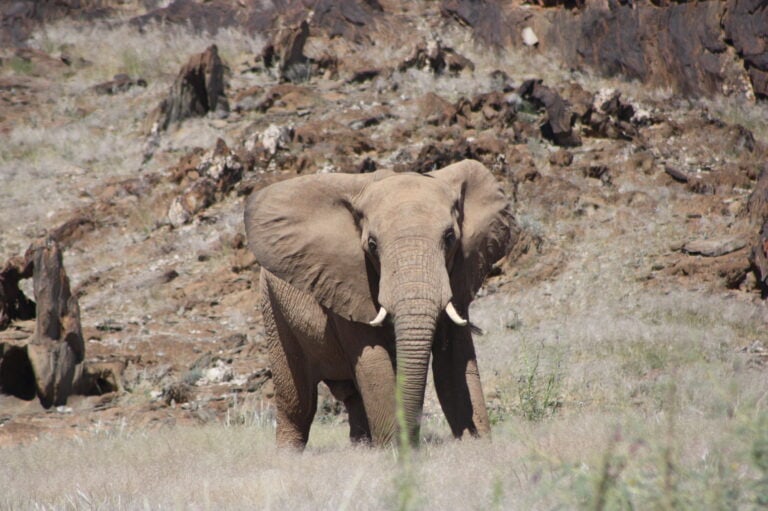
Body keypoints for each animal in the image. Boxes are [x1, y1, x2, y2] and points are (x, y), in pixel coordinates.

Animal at [244, 159, 516, 448]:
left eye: (450, 238)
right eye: (372, 245)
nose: (413, 441)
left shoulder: (461, 272)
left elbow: (455, 362)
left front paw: (478, 445)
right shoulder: (348, 282)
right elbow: (376, 366)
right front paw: (394, 452)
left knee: (352, 397)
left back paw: (362, 448)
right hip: (272, 307)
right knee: (298, 402)